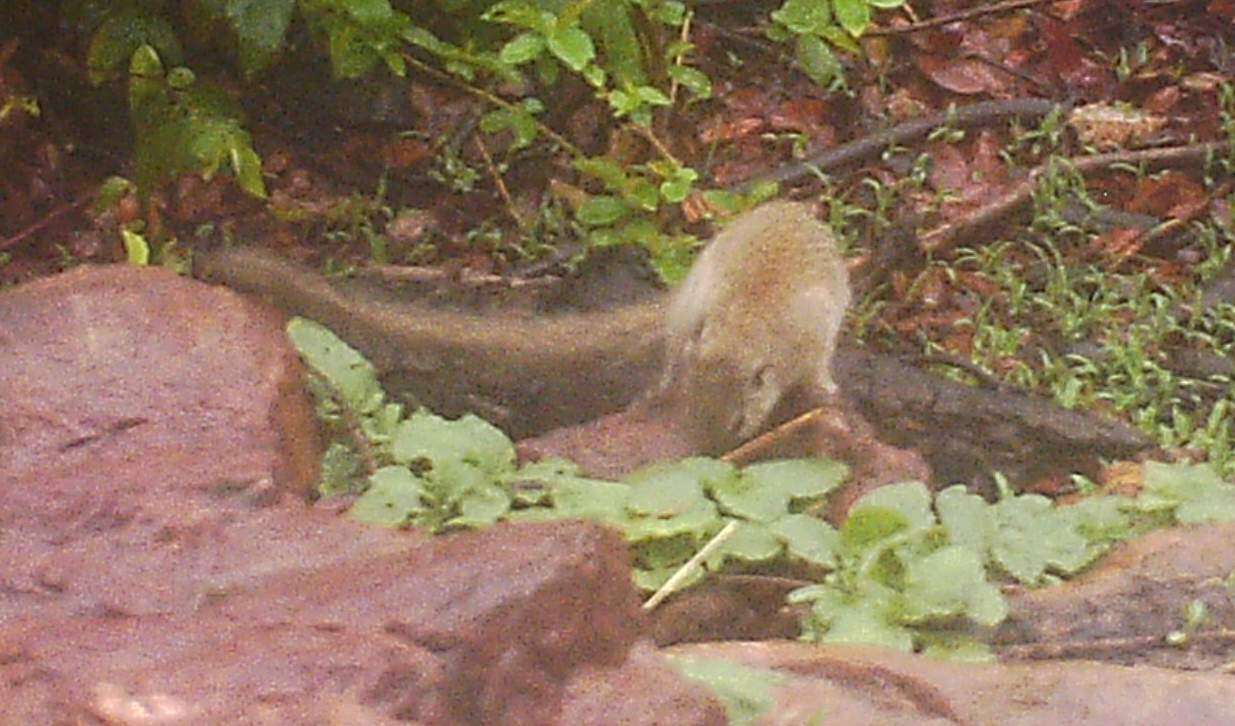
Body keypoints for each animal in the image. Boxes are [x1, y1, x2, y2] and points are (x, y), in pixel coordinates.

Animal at [195, 198, 849, 454]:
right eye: (696, 417)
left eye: (736, 421)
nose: (711, 455)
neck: (747, 328)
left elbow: (816, 371)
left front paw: (822, 393)